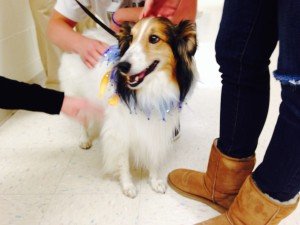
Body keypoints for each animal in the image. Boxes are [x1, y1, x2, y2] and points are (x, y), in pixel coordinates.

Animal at [59, 17, 198, 197]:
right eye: (131, 38)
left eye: (154, 38)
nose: (122, 66)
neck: (151, 89)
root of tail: (84, 35)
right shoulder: (120, 131)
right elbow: (123, 161)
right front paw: (128, 186)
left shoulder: (157, 128)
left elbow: (153, 157)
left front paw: (155, 182)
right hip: (78, 95)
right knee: (82, 120)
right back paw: (84, 139)